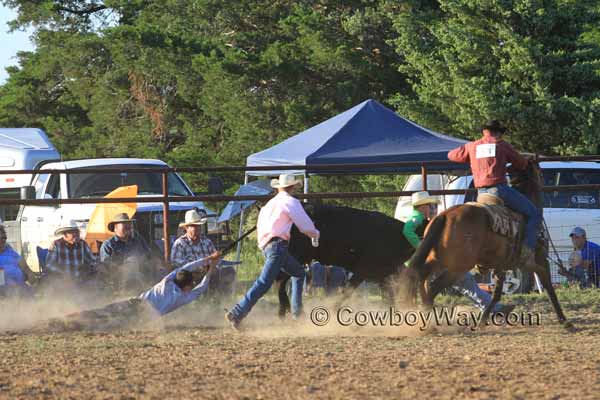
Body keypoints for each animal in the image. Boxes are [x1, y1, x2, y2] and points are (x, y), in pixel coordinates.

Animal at [274, 205, 420, 318]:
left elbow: (389, 294)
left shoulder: (381, 274)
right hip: (294, 256)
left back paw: (286, 310)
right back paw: (284, 310)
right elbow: (348, 290)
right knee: (280, 280)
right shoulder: (364, 270)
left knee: (281, 280)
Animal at [400, 161, 576, 330]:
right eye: (540, 172)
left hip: (438, 260)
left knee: (421, 277)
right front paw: (564, 320)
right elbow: (548, 284)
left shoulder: (503, 266)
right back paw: (429, 323)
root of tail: (444, 215)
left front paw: (482, 321)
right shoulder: (536, 260)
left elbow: (496, 294)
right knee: (432, 288)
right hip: (457, 267)